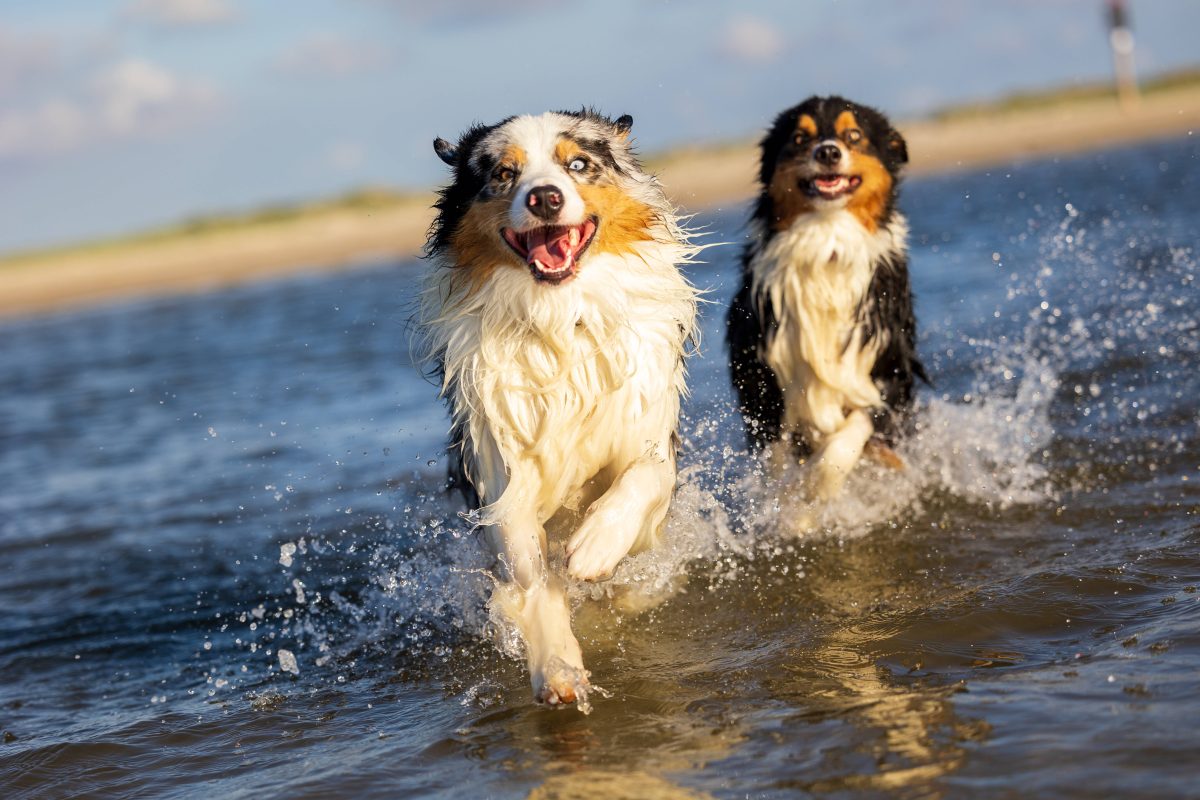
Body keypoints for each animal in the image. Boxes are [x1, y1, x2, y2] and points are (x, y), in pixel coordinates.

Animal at [720, 94, 926, 506]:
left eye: (854, 135)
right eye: (800, 138)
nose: (828, 152)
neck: (827, 244)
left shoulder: (886, 373)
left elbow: (844, 445)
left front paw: (815, 490)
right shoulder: (763, 384)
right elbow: (778, 466)